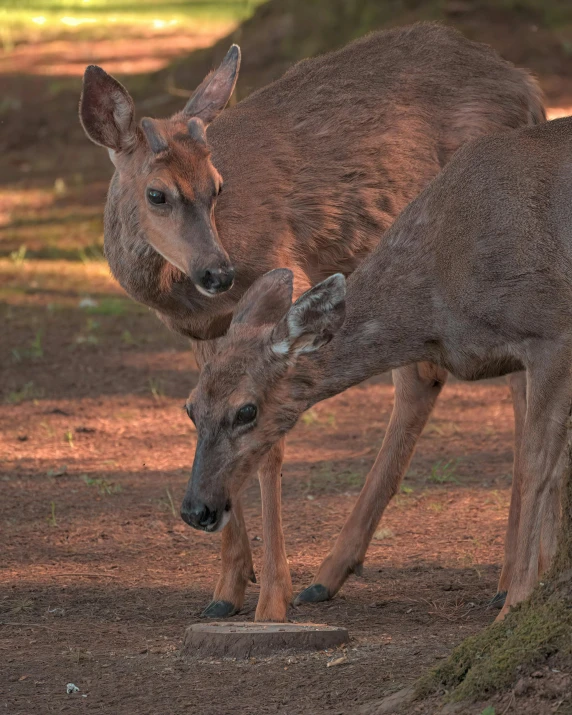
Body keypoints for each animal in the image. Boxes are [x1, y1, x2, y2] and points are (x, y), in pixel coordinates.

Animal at [183, 116, 572, 620]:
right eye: (191, 408)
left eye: (246, 410)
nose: (196, 509)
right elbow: (553, 466)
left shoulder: (551, 328)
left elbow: (536, 467)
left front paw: (516, 602)